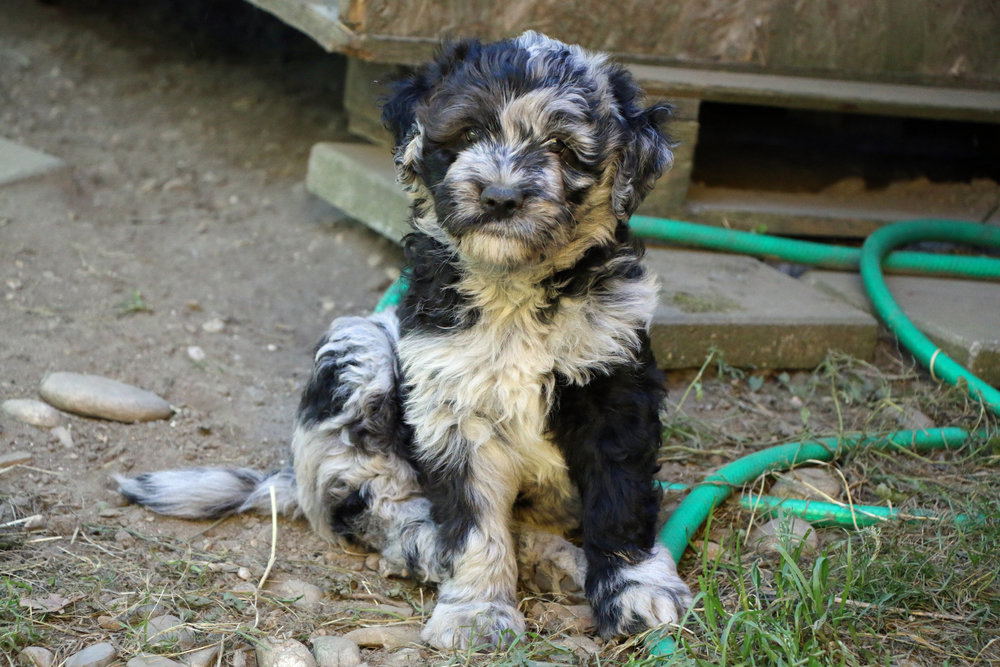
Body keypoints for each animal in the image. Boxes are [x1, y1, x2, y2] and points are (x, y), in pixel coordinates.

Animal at [117, 32, 692, 652]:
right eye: (467, 133)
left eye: (562, 147)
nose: (499, 197)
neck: (513, 288)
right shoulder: (451, 405)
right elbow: (472, 523)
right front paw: (476, 612)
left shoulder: (614, 380)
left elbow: (619, 499)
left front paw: (636, 589)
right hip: (361, 350)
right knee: (364, 497)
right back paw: (425, 541)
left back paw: (555, 559)